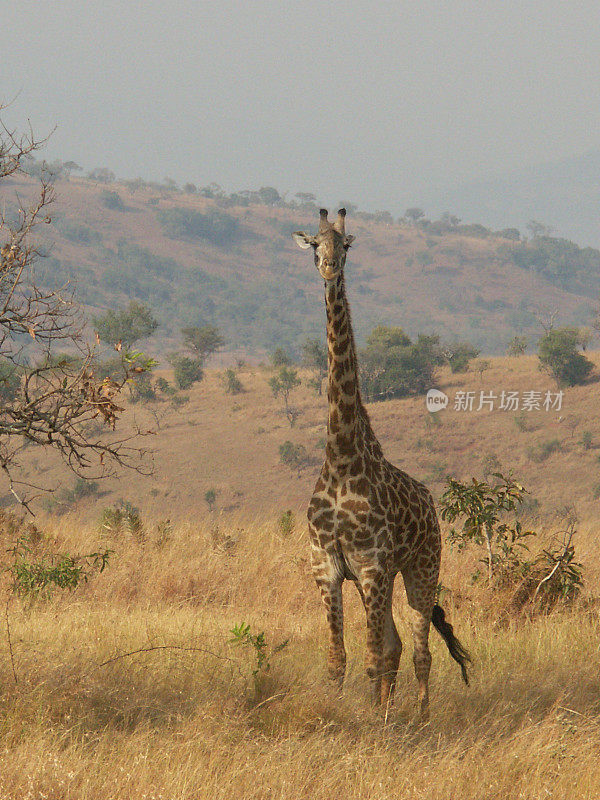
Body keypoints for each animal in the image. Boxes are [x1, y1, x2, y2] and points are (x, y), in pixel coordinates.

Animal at [292, 208, 472, 720]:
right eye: (315, 244)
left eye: (347, 245)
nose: (329, 269)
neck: (341, 458)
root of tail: (431, 503)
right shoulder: (328, 567)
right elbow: (339, 659)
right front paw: (344, 715)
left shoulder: (371, 564)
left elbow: (373, 656)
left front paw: (376, 722)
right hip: (384, 577)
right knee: (396, 645)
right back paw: (396, 711)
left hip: (422, 568)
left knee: (419, 649)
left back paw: (421, 717)